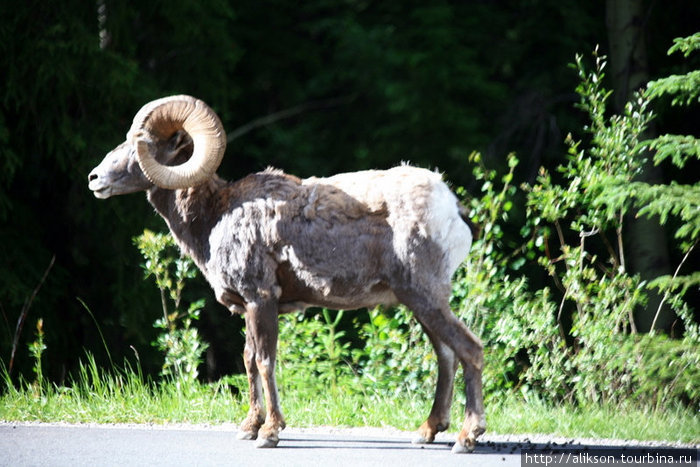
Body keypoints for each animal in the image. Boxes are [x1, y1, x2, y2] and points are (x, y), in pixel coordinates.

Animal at [87, 94, 484, 454]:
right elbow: (249, 360)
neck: (215, 217)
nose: (94, 178)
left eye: (144, 143)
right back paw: (427, 432)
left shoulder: (260, 301)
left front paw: (270, 433)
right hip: (417, 302)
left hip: (424, 295)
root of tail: (450, 206)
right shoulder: (249, 309)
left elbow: (265, 362)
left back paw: (466, 439)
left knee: (469, 349)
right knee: (446, 355)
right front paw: (249, 428)